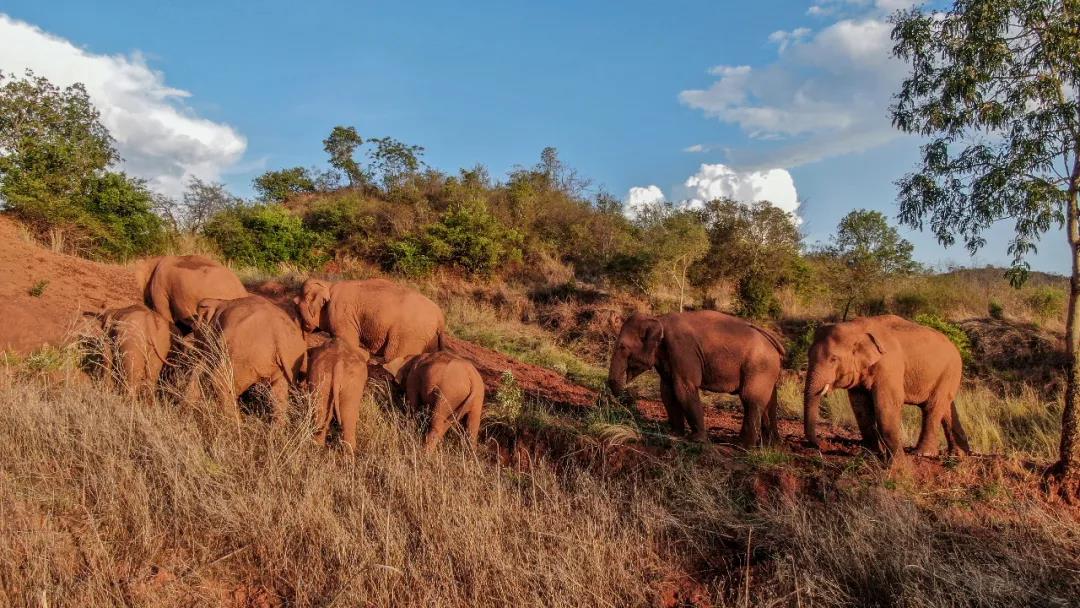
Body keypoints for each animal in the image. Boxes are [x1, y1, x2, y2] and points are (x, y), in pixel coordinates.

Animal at [186, 295, 308, 423]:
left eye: (194, 329)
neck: (218, 302)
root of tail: (279, 335)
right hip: (287, 360)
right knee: (278, 393)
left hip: (243, 355)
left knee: (221, 382)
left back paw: (236, 424)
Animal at [293, 278, 444, 360]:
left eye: (296, 304)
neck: (328, 285)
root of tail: (440, 317)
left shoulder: (340, 312)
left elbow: (348, 341)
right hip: (429, 339)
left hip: (409, 335)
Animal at [609, 313, 786, 447]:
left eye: (622, 347)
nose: (627, 398)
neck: (658, 318)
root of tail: (772, 340)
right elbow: (667, 391)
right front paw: (674, 434)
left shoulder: (682, 351)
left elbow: (683, 389)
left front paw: (696, 440)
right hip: (768, 370)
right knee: (770, 401)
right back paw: (772, 446)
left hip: (759, 366)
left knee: (750, 399)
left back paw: (741, 446)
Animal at [803, 317, 972, 464]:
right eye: (808, 355)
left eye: (833, 359)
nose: (820, 444)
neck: (856, 327)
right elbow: (861, 406)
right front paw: (872, 452)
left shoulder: (889, 365)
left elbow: (886, 404)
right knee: (947, 408)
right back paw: (960, 455)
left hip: (949, 372)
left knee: (933, 407)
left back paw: (924, 453)